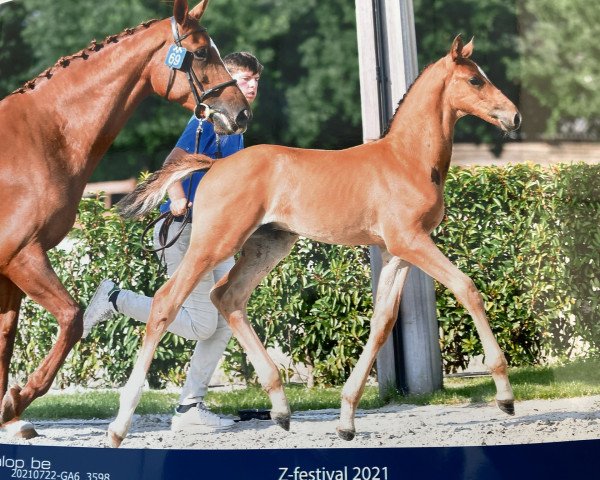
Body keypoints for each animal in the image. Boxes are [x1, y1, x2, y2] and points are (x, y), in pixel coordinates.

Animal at [111, 34, 520, 446]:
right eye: (475, 80)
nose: (514, 116)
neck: (408, 159)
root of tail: (215, 164)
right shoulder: (411, 241)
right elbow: (467, 288)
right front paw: (505, 396)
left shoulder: (397, 252)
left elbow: (382, 322)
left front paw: (346, 419)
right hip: (214, 243)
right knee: (167, 301)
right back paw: (119, 426)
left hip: (269, 245)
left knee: (227, 297)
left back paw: (280, 407)